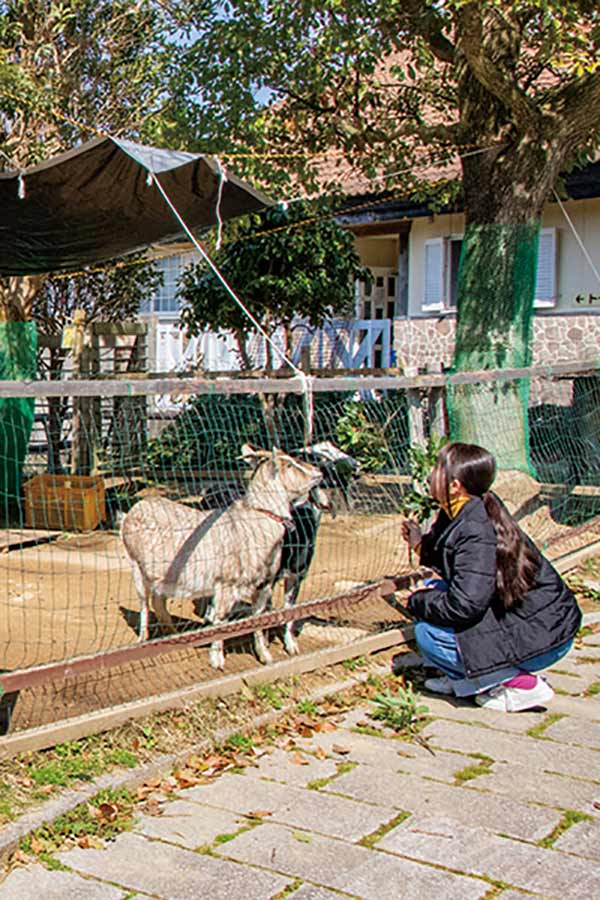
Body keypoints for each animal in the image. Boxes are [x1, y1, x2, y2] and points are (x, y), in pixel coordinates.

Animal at [120, 444, 324, 668]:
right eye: (289, 465)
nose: (318, 472)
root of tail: (133, 510)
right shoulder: (226, 583)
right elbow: (221, 619)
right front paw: (217, 660)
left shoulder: (264, 584)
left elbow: (258, 619)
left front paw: (265, 655)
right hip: (136, 567)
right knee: (144, 604)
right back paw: (143, 638)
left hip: (164, 576)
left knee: (159, 602)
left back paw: (173, 635)